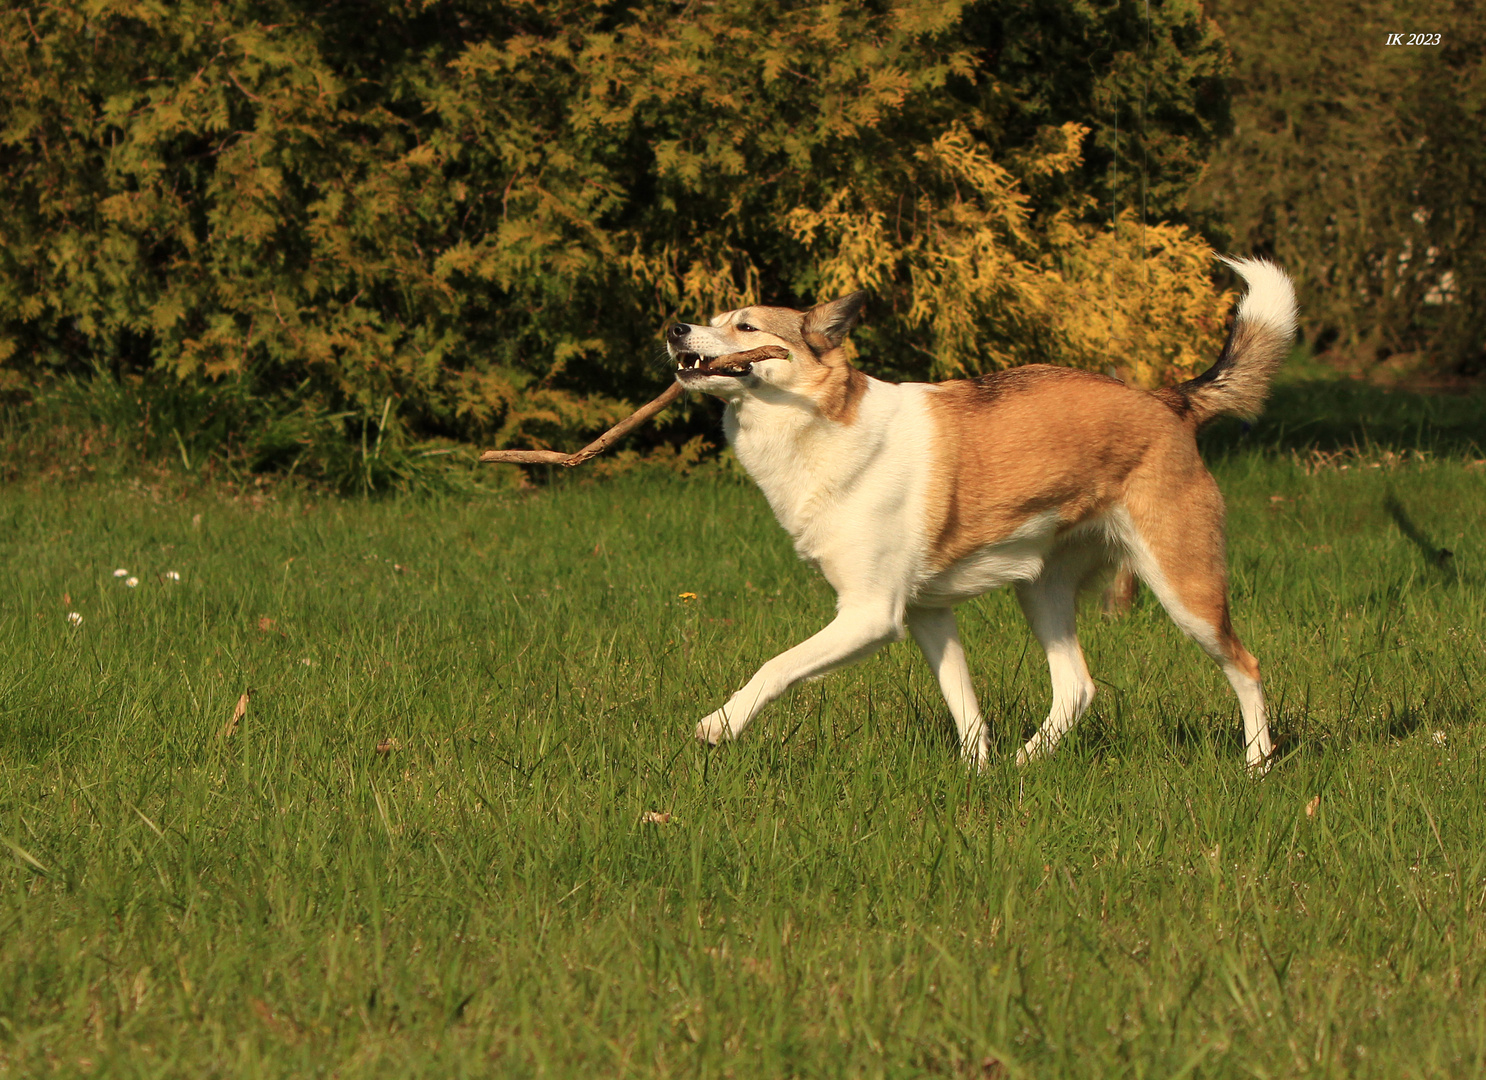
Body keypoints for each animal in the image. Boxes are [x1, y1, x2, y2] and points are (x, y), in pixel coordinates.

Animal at [668, 258, 1295, 772]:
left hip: (1186, 588)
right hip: (1041, 588)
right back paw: (1025, 763)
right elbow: (963, 702)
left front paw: (719, 725)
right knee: (1077, 687)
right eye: (714, 318)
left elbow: (776, 667)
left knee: (1247, 667)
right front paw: (978, 775)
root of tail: (1168, 400)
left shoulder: (870, 616)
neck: (822, 423)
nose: (675, 328)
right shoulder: (927, 613)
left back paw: (1256, 765)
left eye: (746, 327)